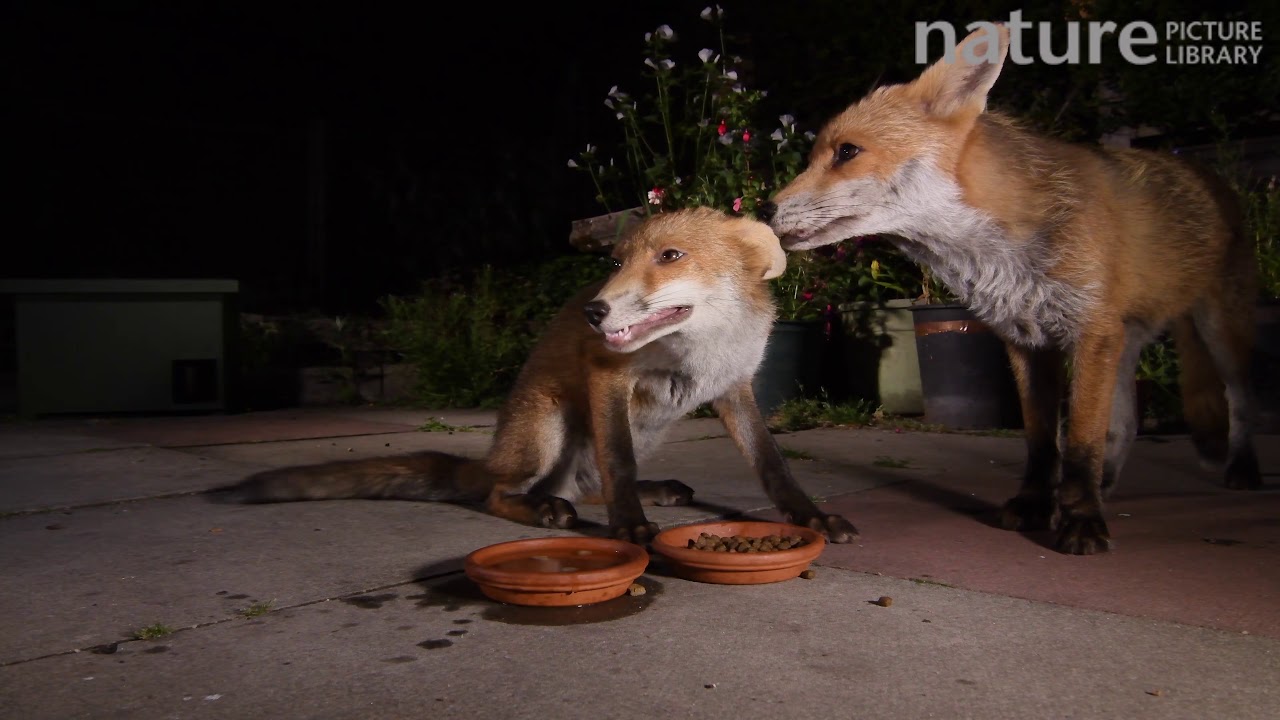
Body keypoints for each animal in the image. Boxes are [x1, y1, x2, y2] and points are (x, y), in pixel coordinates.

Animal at [228, 208, 858, 544]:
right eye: (615, 263)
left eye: (671, 256)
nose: (595, 313)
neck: (697, 352)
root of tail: (497, 459)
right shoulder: (608, 377)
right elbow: (619, 465)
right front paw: (629, 527)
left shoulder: (734, 389)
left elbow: (773, 467)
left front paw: (811, 517)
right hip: (546, 433)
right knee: (500, 493)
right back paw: (545, 510)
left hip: (634, 435)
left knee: (586, 483)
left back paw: (645, 491)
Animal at [760, 25, 1261, 555]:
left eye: (847, 152)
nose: (764, 209)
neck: (1001, 257)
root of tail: (1208, 176)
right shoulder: (1026, 340)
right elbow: (1043, 443)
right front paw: (1038, 505)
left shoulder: (1089, 332)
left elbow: (1080, 441)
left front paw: (1081, 520)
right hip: (1125, 342)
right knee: (1125, 423)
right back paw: (1104, 486)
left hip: (1215, 331)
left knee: (1240, 400)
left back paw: (1240, 469)